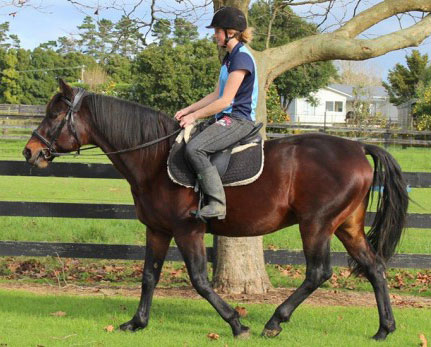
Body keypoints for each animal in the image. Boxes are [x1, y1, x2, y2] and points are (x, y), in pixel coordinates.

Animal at [22, 80, 408, 342]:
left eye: (55, 114)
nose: (30, 152)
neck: (154, 159)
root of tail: (359, 148)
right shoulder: (157, 229)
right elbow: (149, 276)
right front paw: (136, 323)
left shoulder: (187, 230)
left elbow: (200, 280)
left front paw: (237, 323)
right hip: (346, 226)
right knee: (374, 267)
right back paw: (384, 329)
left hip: (316, 224)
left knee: (318, 273)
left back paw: (274, 321)